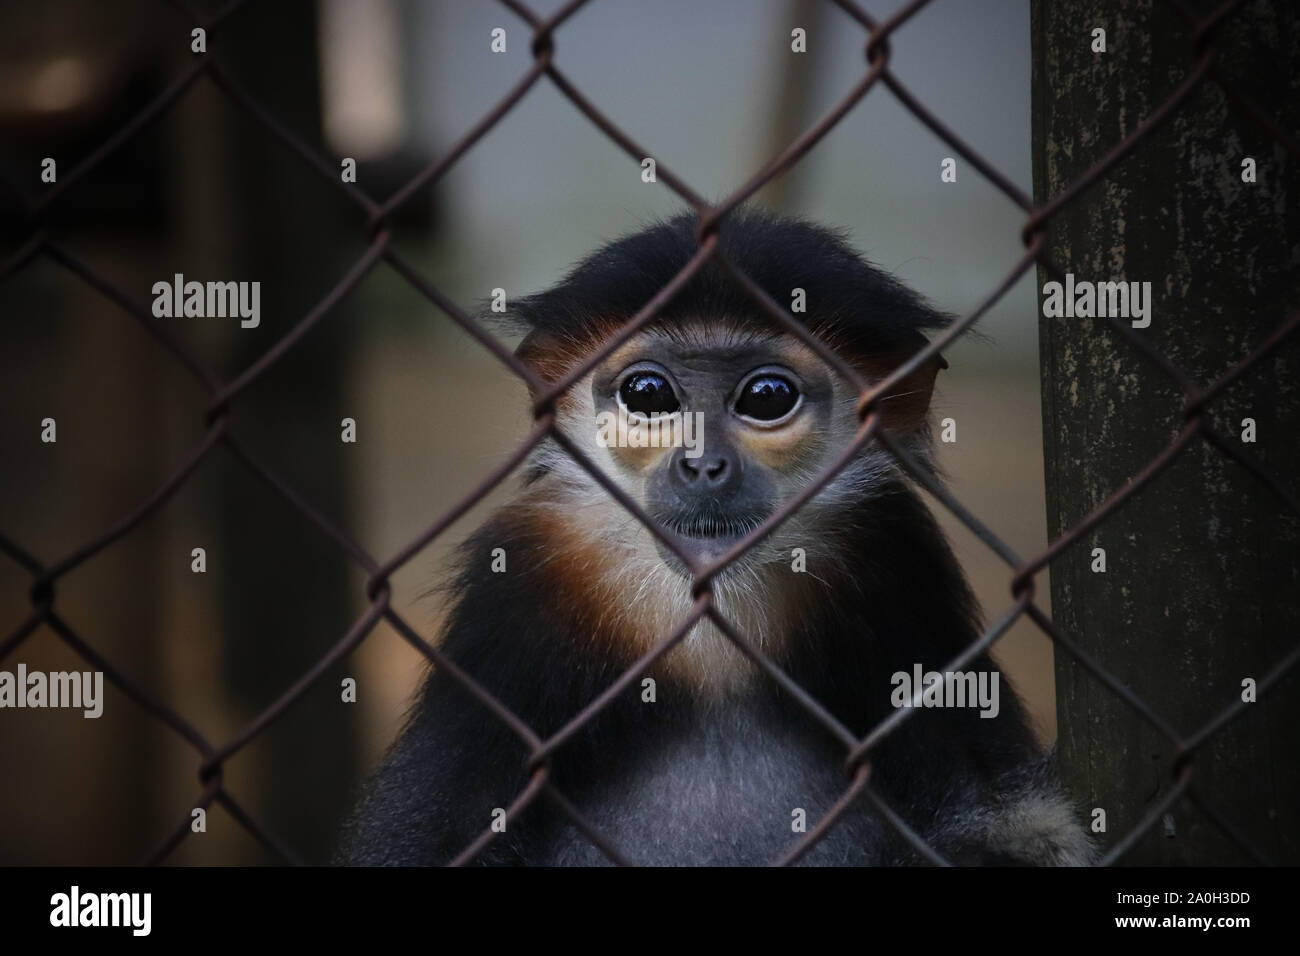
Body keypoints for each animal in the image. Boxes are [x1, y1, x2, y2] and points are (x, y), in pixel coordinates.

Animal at [338, 209, 1097, 868]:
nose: (702, 465)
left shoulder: (895, 557)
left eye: (767, 397)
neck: (707, 608)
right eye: (648, 394)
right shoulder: (526, 577)